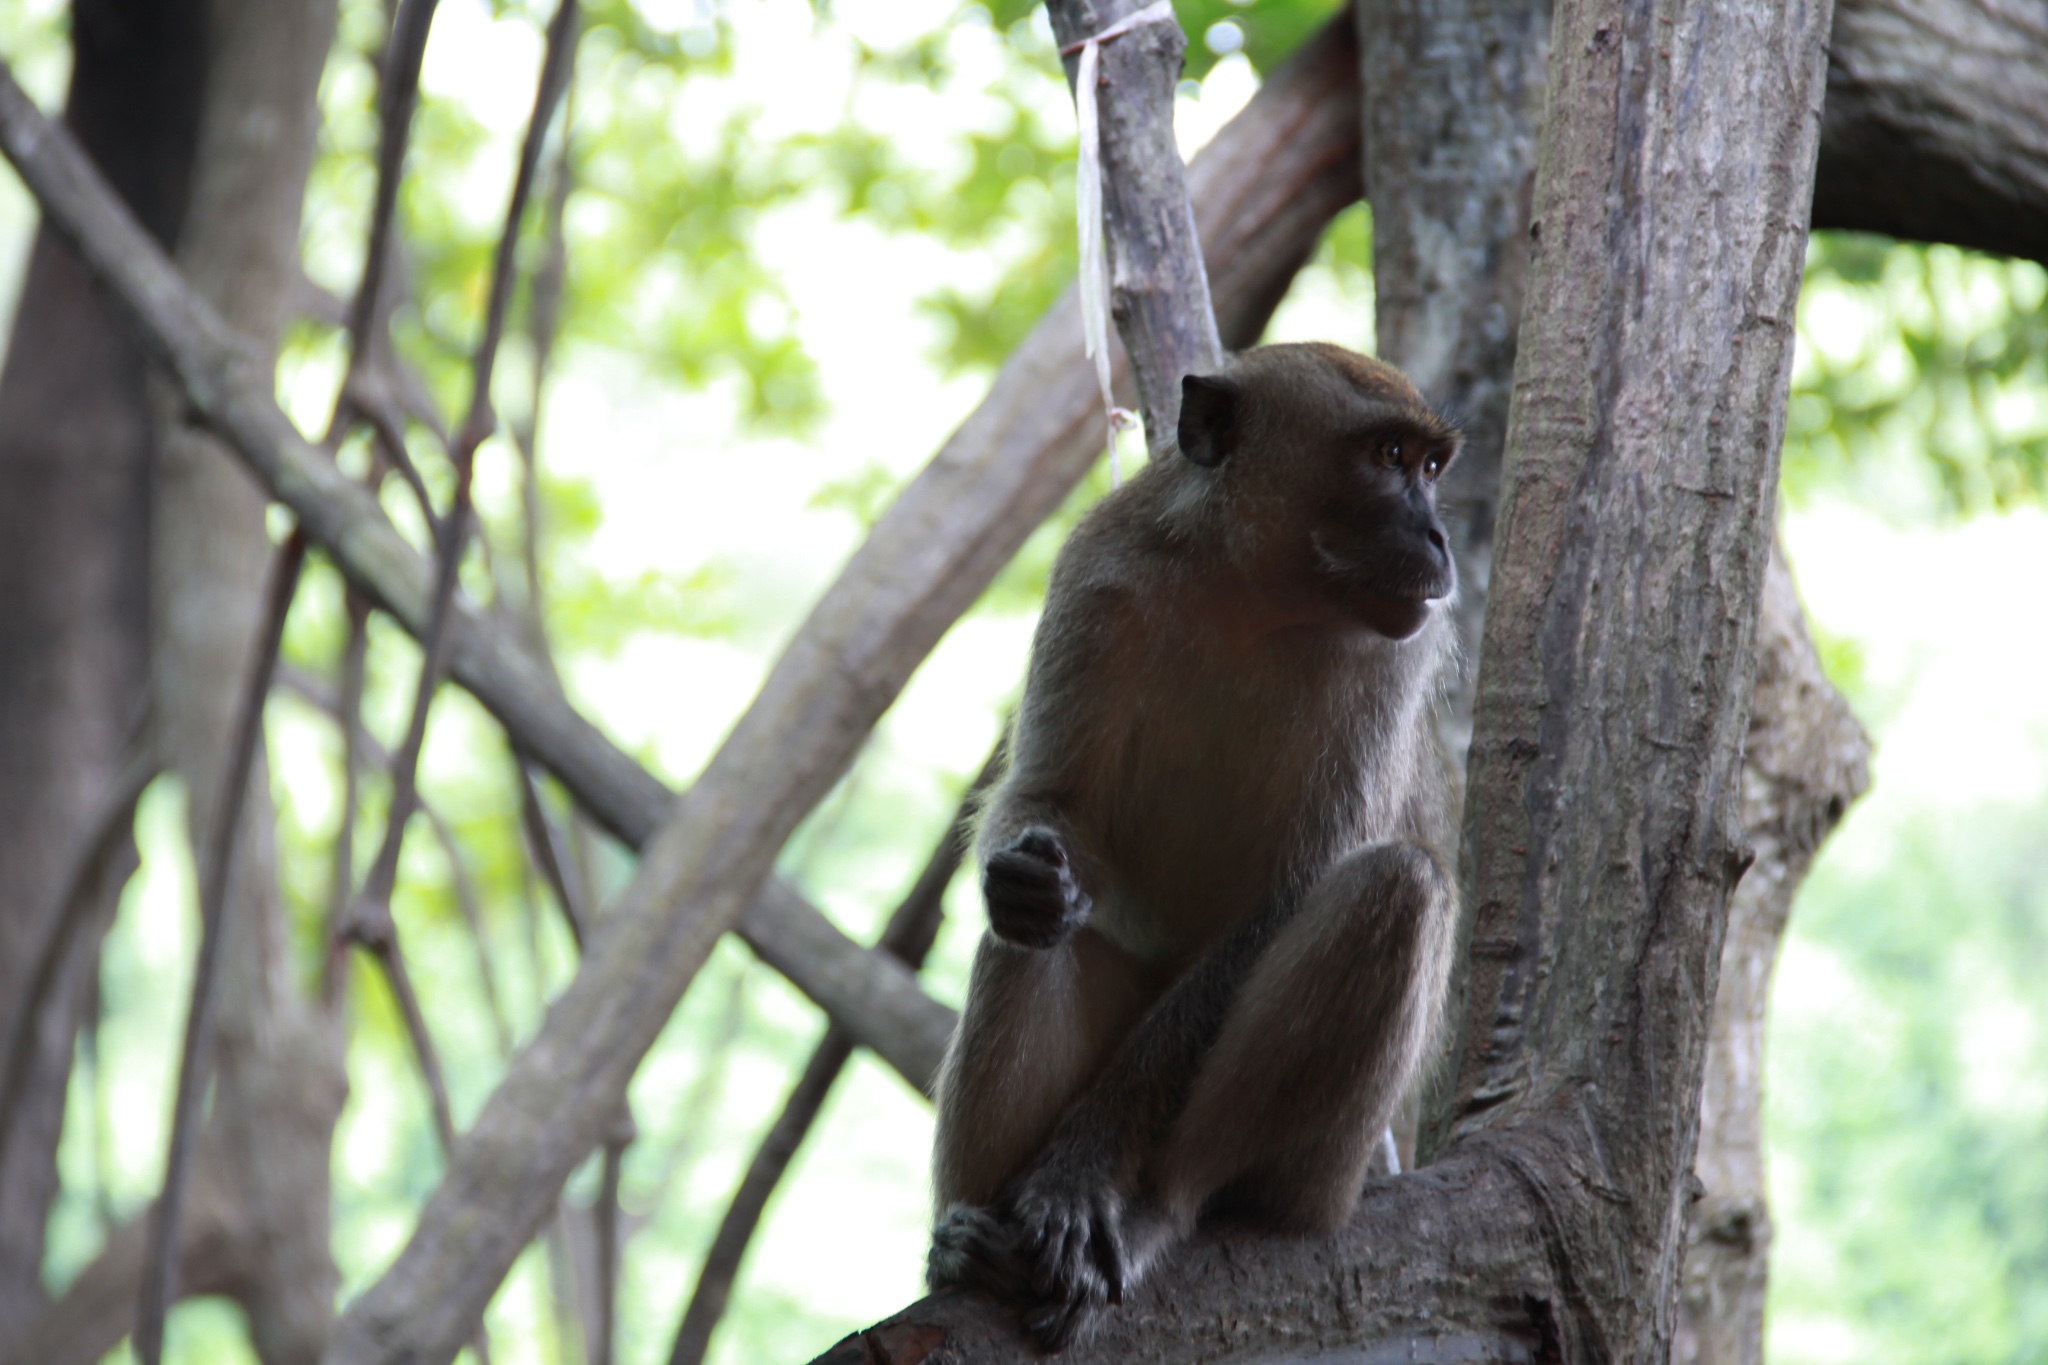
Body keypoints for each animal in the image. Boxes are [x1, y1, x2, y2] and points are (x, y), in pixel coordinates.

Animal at [921, 343, 1466, 1358]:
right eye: (1388, 457)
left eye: (1429, 466)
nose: (1438, 535)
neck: (1257, 590)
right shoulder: (1098, 573)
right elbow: (1050, 807)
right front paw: (1025, 877)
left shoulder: (1401, 652)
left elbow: (1292, 895)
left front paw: (1081, 1172)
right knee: (1035, 934)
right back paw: (969, 1242)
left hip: (1327, 1178)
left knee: (1394, 888)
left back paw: (1150, 1211)